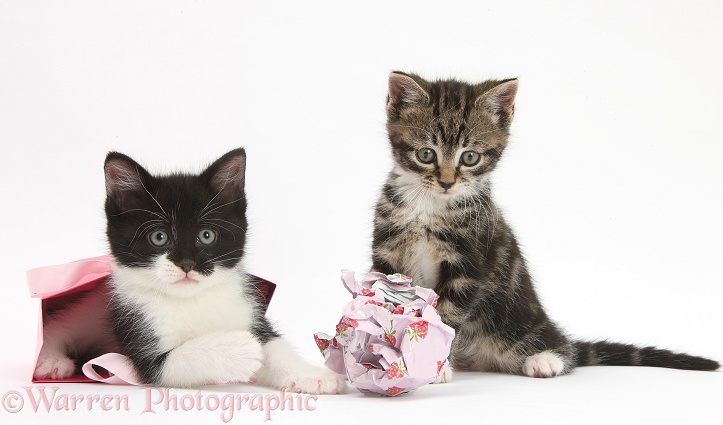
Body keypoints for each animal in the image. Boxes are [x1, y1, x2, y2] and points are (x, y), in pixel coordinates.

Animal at [35, 147, 346, 392]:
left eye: (206, 235)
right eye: (159, 237)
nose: (186, 265)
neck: (191, 299)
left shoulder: (248, 310)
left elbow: (275, 346)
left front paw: (312, 375)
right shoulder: (143, 349)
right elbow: (182, 358)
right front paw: (240, 349)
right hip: (94, 307)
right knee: (63, 324)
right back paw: (50, 361)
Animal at [370, 72, 720, 378]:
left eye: (470, 157)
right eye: (426, 154)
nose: (446, 183)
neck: (428, 207)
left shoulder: (469, 263)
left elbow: (447, 316)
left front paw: (434, 366)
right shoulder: (387, 252)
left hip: (517, 319)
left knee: (562, 348)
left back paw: (545, 360)